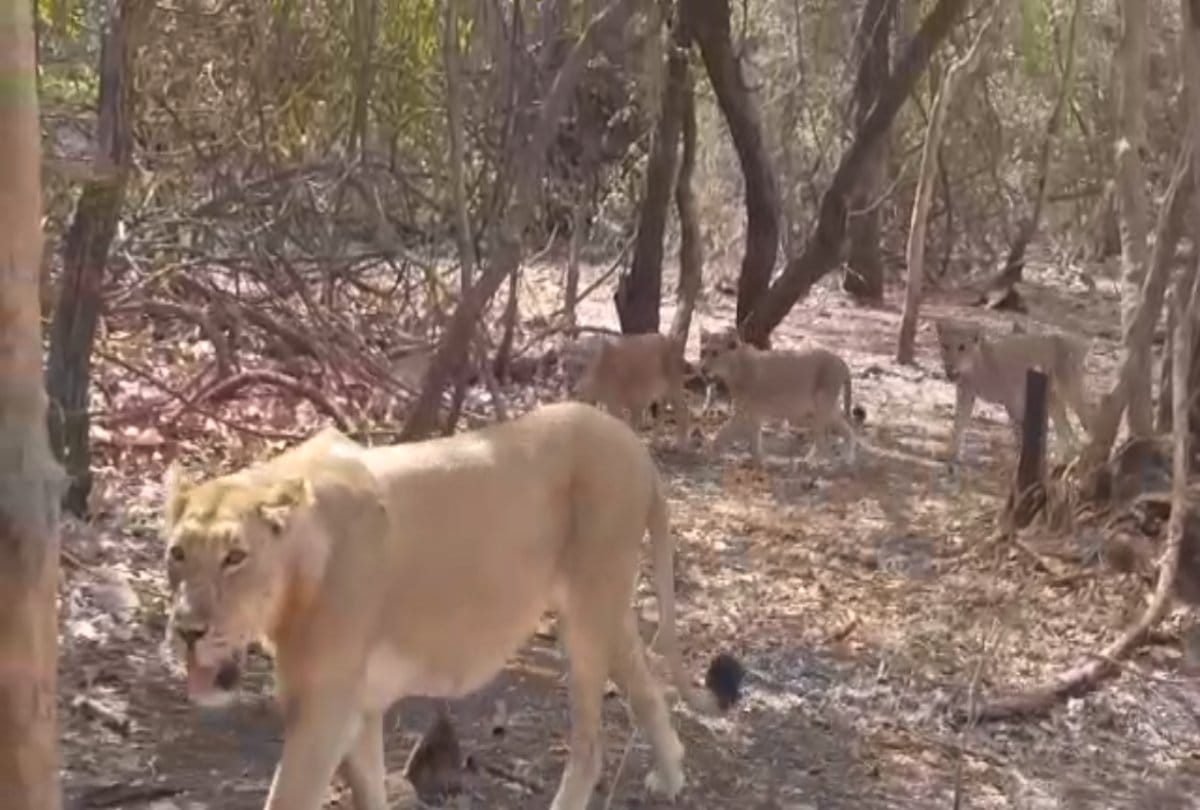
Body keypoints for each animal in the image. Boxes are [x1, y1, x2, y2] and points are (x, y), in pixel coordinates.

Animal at [161, 402, 743, 810]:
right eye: (177, 553)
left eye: (235, 557)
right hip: (604, 608)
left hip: (587, 614)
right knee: (645, 682)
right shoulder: (360, 706)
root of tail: (636, 447)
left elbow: (288, 797)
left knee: (590, 746)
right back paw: (671, 775)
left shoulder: (324, 707)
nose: (187, 630)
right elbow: (367, 791)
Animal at [698, 327, 865, 467]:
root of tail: (840, 360)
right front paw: (759, 462)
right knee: (848, 430)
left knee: (823, 441)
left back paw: (808, 463)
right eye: (703, 352)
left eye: (715, 353)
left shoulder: (744, 414)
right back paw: (848, 459)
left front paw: (710, 454)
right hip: (824, 410)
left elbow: (723, 433)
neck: (734, 368)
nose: (703, 369)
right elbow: (754, 441)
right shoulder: (752, 416)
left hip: (821, 407)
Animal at [933, 318, 1094, 464]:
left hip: (1071, 392)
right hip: (1052, 399)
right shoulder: (966, 395)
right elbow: (958, 423)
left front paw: (1019, 463)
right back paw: (1064, 461)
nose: (949, 367)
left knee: (1087, 420)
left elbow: (1020, 431)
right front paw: (951, 454)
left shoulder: (1013, 401)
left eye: (962, 347)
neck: (974, 370)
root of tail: (1076, 341)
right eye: (945, 346)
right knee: (1066, 428)